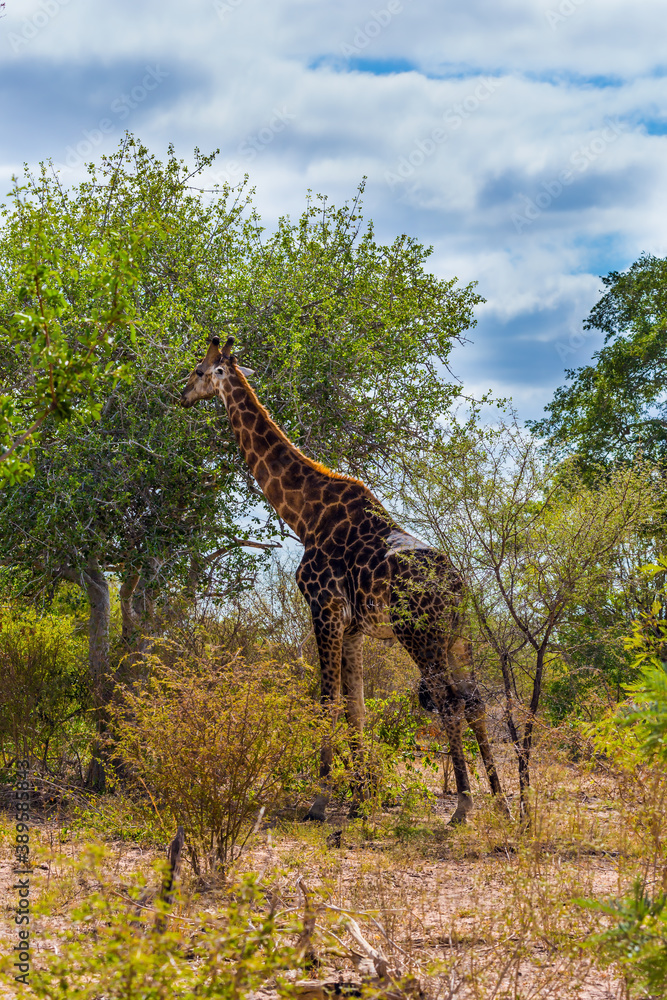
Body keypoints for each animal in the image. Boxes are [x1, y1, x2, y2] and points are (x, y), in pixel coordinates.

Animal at [180, 336, 504, 824]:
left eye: (201, 371)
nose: (181, 395)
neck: (305, 515)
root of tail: (455, 585)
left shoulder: (324, 610)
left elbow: (327, 701)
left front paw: (321, 801)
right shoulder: (352, 627)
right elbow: (358, 707)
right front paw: (360, 799)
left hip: (420, 635)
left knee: (448, 701)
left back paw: (464, 805)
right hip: (459, 635)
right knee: (475, 700)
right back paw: (504, 802)